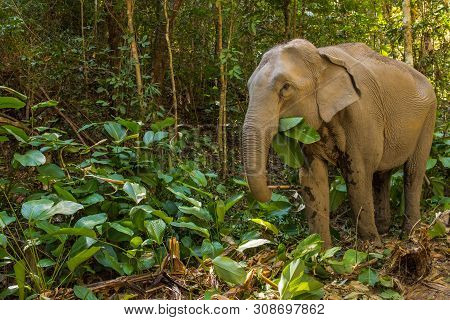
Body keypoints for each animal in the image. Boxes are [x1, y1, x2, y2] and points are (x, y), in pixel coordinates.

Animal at [243, 38, 436, 246]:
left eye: (285, 88)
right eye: (248, 88)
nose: (272, 191)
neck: (321, 58)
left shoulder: (362, 114)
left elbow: (358, 174)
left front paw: (371, 247)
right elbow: (312, 178)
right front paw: (319, 250)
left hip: (429, 119)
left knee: (413, 172)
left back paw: (410, 235)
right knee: (381, 175)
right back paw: (384, 229)